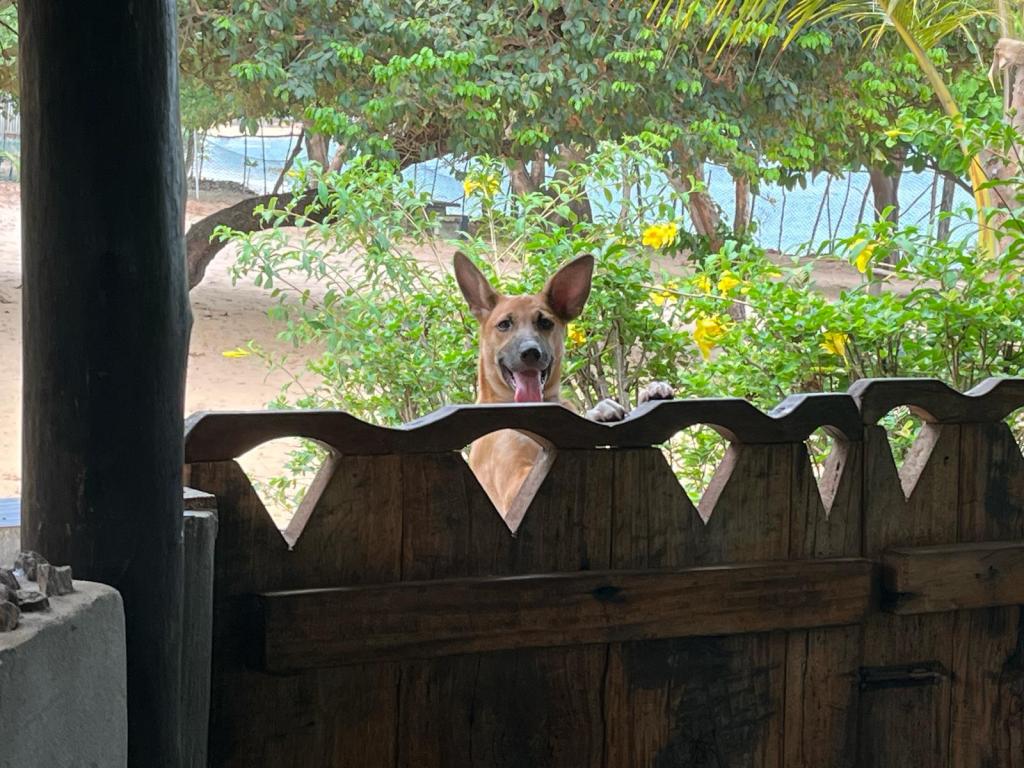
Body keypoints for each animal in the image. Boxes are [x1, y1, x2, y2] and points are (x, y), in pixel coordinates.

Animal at [454, 251, 673, 519]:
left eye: (545, 323)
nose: (531, 353)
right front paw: (600, 410)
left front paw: (650, 391)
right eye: (504, 324)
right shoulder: (516, 483)